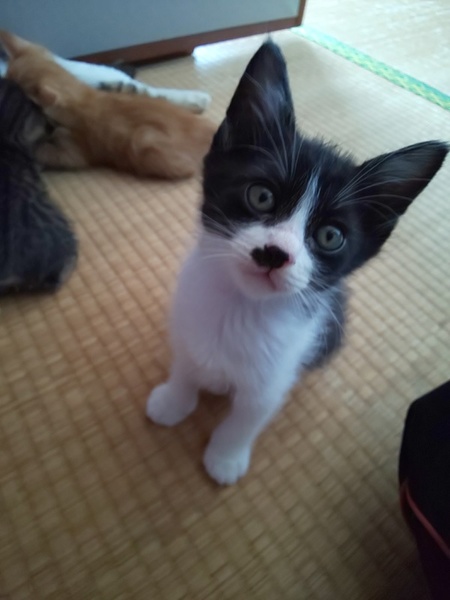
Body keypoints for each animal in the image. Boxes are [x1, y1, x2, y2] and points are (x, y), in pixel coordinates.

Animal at [146, 41, 448, 485]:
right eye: (261, 196)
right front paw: (173, 400)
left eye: (330, 236)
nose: (274, 253)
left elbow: (249, 415)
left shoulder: (277, 374)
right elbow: (186, 363)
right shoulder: (187, 321)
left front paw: (226, 457)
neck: (240, 309)